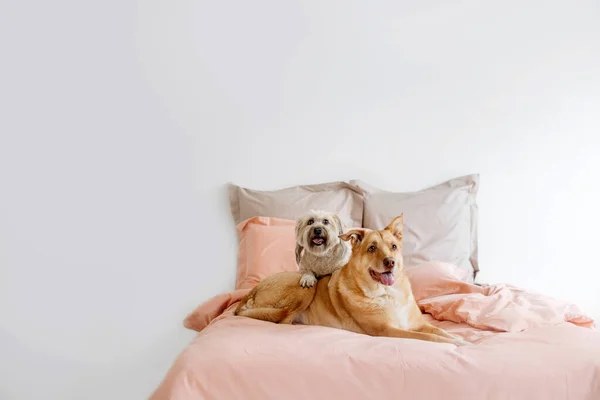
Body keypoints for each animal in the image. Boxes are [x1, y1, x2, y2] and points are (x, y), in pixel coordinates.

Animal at [237, 214, 466, 346]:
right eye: (372, 248)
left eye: (393, 246)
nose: (390, 262)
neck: (387, 294)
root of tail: (252, 291)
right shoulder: (386, 331)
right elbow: (429, 338)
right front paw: (453, 344)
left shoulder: (417, 324)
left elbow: (437, 330)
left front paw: (458, 338)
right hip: (305, 288)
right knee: (283, 320)